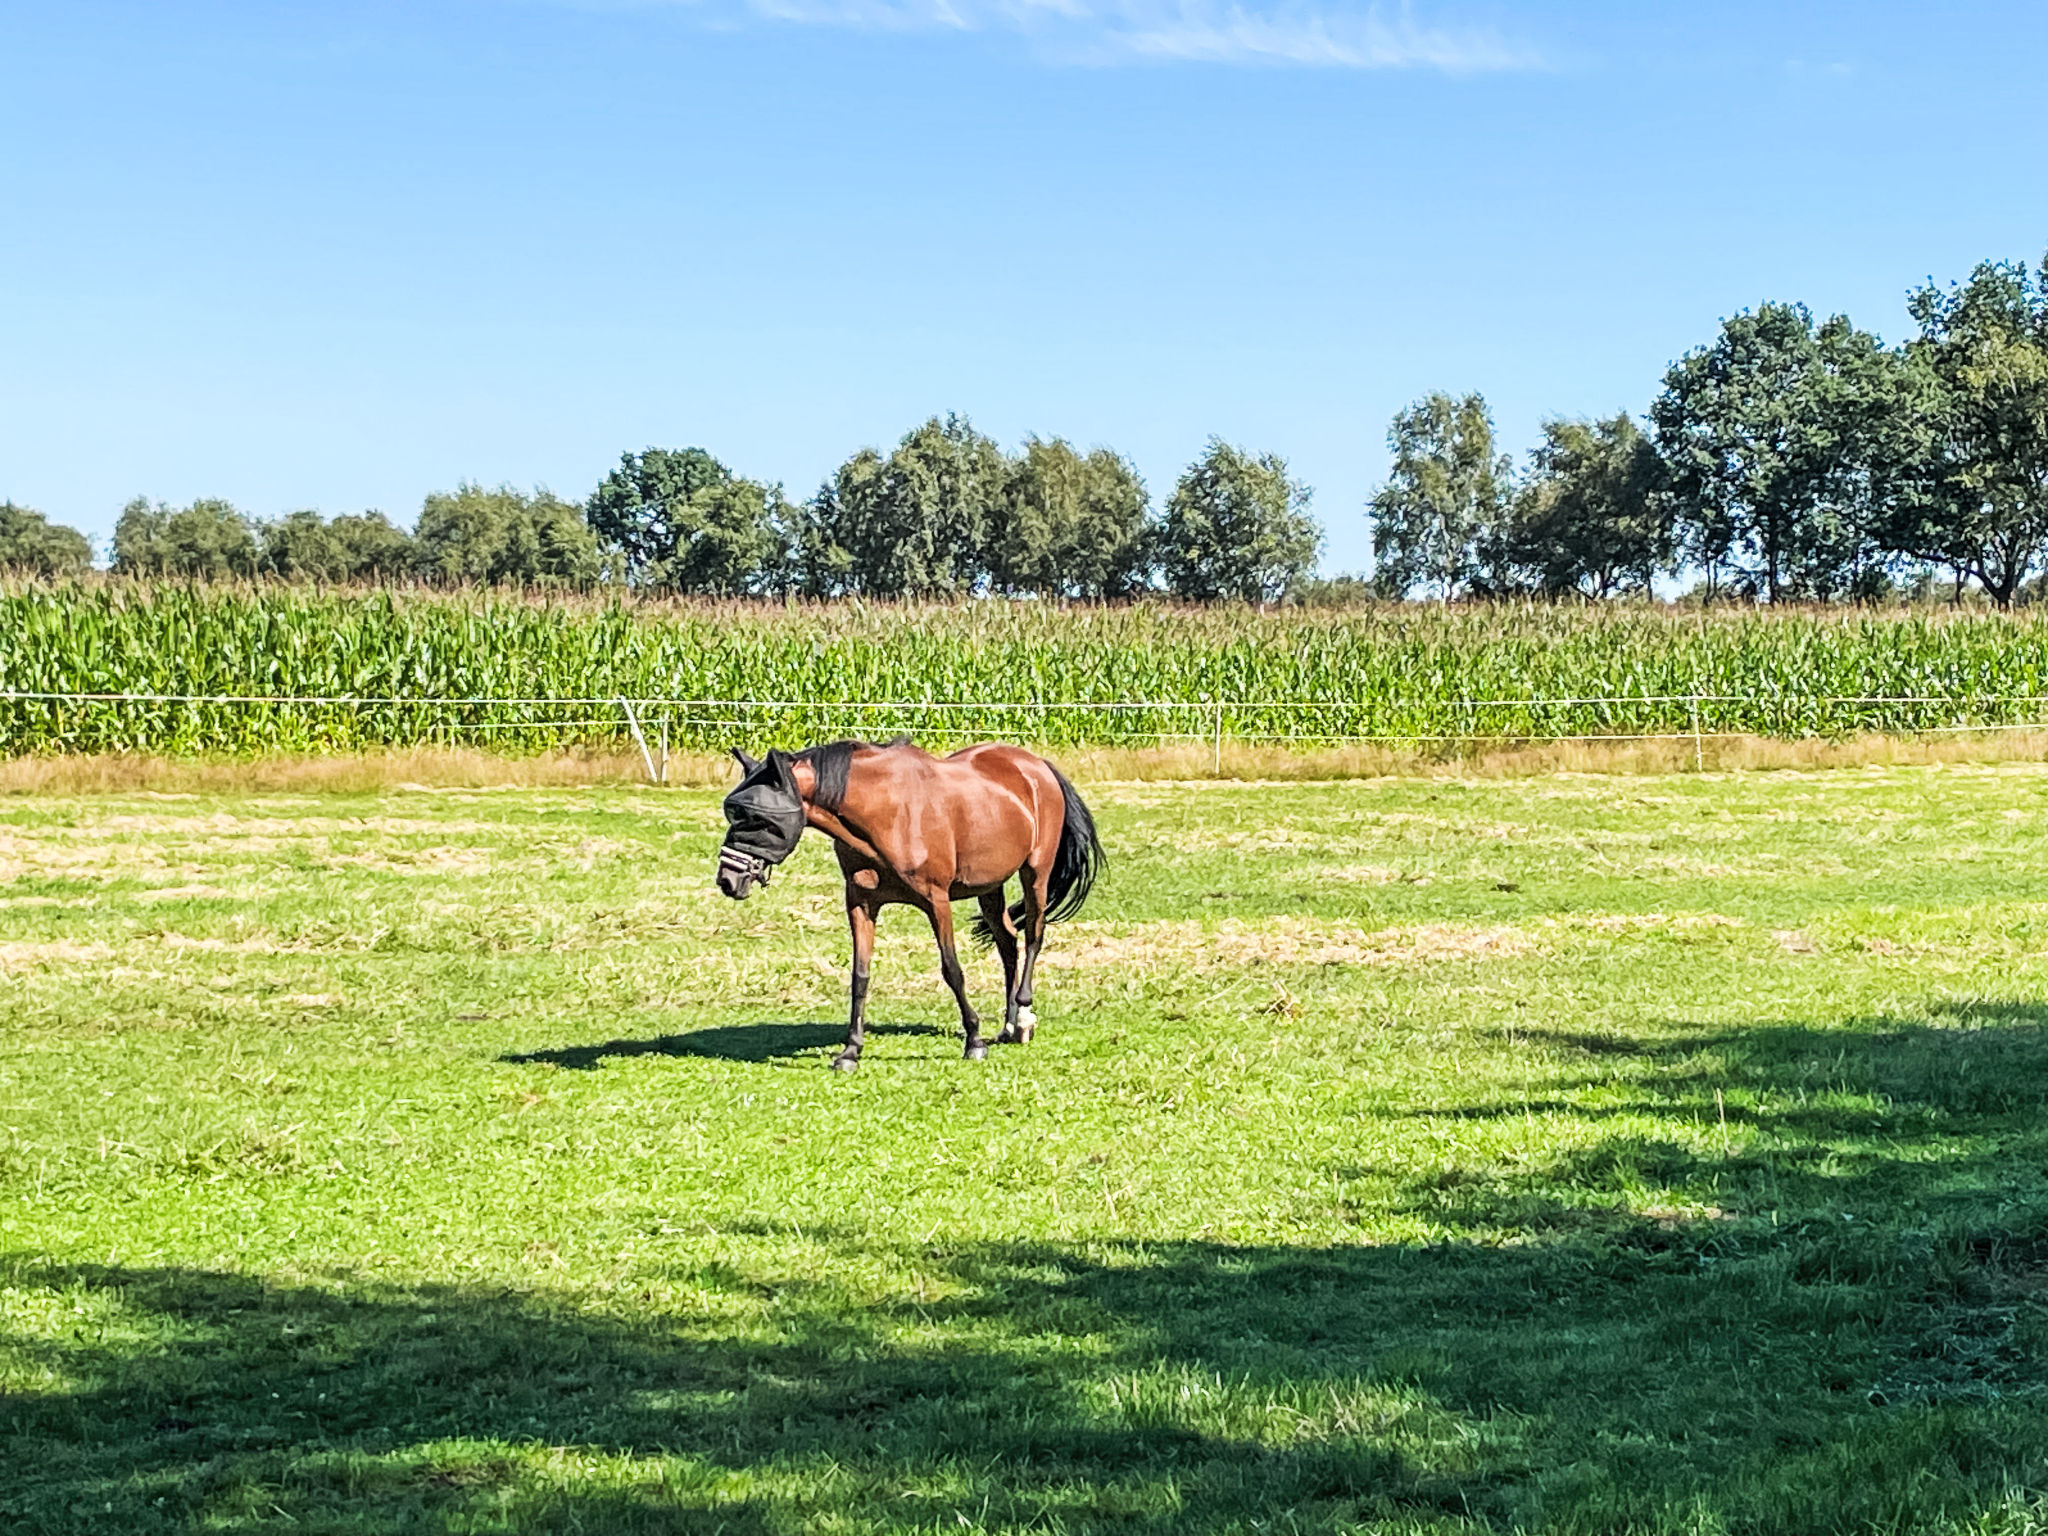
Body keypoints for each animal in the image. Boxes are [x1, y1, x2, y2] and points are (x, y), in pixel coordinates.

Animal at [716, 741, 1105, 1073]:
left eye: (758, 817)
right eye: (733, 813)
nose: (727, 880)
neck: (886, 813)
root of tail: (1037, 766)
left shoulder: (937, 901)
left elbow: (952, 969)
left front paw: (974, 1041)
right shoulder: (860, 904)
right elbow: (860, 975)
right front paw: (850, 1052)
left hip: (1035, 874)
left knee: (1034, 936)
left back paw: (1023, 1018)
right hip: (989, 886)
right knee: (1008, 943)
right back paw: (1008, 1025)